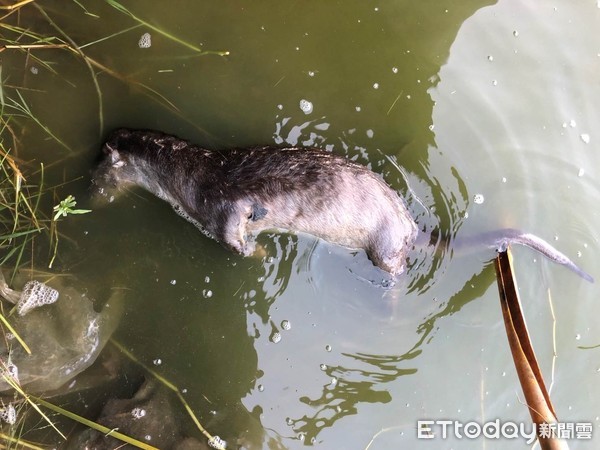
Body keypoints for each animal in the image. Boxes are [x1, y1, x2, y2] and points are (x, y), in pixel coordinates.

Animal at [91, 128, 592, 282]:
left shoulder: (221, 212)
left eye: (96, 176)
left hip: (383, 247)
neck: (191, 175)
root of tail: (408, 224)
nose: (89, 197)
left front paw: (261, 251)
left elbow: (237, 238)